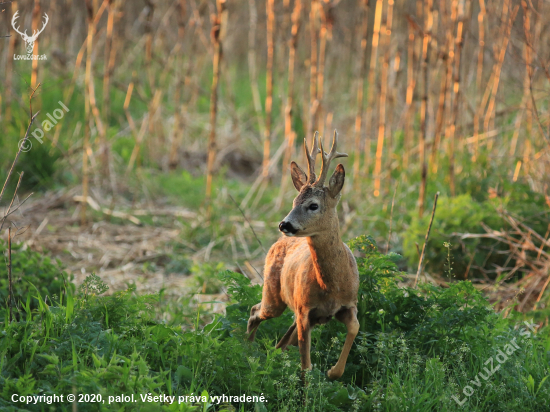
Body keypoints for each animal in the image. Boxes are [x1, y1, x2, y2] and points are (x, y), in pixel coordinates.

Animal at [247, 130, 360, 378]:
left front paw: (332, 371)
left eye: (313, 205)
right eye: (293, 201)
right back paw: (245, 350)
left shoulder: (348, 304)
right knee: (255, 311)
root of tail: (277, 243)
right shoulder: (304, 311)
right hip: (274, 296)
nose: (284, 224)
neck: (331, 286)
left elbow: (355, 327)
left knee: (280, 342)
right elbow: (306, 366)